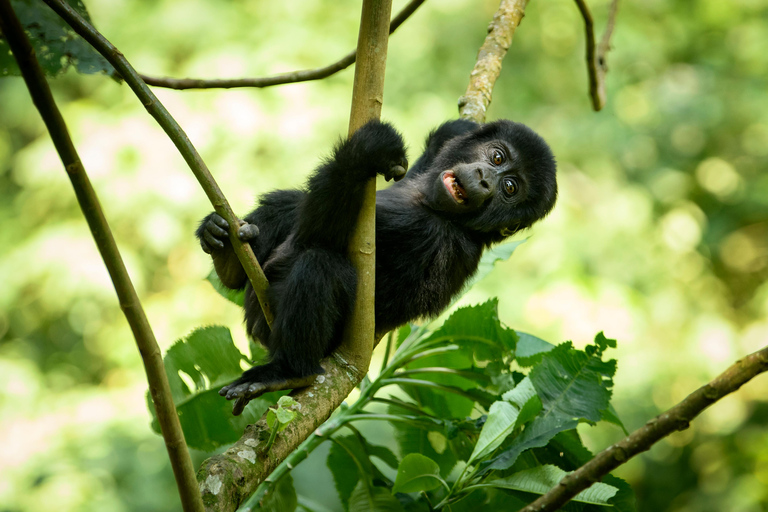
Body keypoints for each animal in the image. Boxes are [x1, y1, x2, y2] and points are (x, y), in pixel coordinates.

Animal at [196, 118, 560, 414]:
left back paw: (288, 371)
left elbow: (319, 236)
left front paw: (364, 151)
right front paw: (453, 129)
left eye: (509, 188)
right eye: (497, 158)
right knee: (289, 201)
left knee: (318, 263)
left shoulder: (426, 231)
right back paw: (227, 258)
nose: (485, 180)